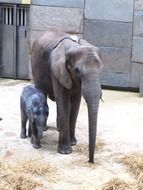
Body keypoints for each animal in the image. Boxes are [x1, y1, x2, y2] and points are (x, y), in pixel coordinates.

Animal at [30, 28, 103, 163]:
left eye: (101, 69)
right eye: (77, 71)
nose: (91, 161)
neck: (74, 46)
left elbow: (75, 105)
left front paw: (73, 143)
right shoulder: (58, 70)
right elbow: (65, 103)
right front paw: (65, 151)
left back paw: (58, 128)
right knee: (44, 94)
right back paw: (45, 128)